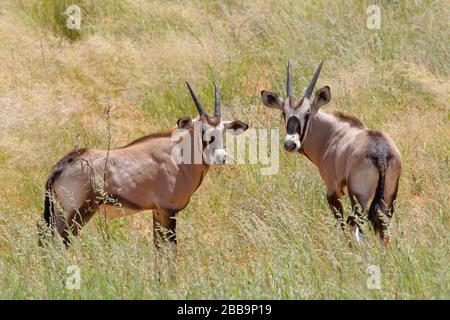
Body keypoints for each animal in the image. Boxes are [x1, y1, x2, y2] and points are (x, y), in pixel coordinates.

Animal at [40, 83, 248, 252]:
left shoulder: (157, 211)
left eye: (222, 131)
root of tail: (61, 166)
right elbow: (170, 250)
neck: (178, 155)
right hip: (78, 213)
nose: (221, 157)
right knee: (62, 242)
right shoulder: (168, 210)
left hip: (58, 213)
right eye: (202, 131)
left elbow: (157, 249)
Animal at [262, 60, 402, 245]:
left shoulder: (333, 191)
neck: (331, 133)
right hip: (388, 198)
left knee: (356, 229)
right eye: (284, 113)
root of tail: (380, 152)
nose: (290, 144)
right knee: (383, 233)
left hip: (359, 197)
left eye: (307, 113)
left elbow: (342, 223)